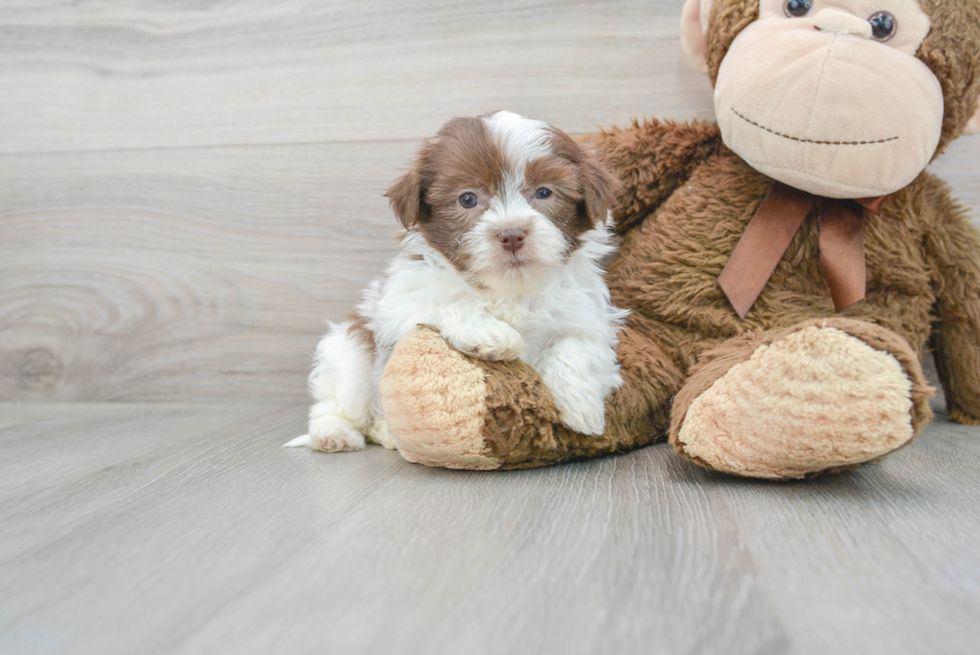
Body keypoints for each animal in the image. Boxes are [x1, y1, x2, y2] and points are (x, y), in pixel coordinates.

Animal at [288, 110, 632, 454]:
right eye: (468, 199)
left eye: (544, 192)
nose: (511, 234)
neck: (508, 288)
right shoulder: (401, 301)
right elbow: (448, 300)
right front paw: (490, 333)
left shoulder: (585, 316)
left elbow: (578, 346)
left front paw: (581, 407)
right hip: (350, 351)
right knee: (340, 398)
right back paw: (334, 432)